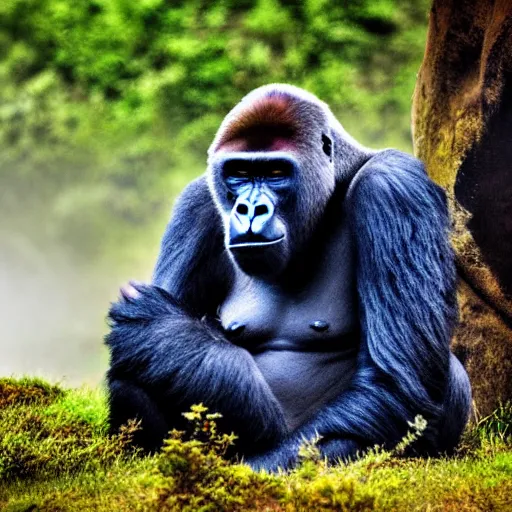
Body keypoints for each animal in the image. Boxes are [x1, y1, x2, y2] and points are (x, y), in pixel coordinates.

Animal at [107, 84, 472, 472]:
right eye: (239, 172)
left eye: (275, 171)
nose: (250, 210)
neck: (337, 181)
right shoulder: (197, 204)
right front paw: (163, 333)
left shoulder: (394, 188)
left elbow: (394, 384)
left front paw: (157, 326)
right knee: (130, 379)